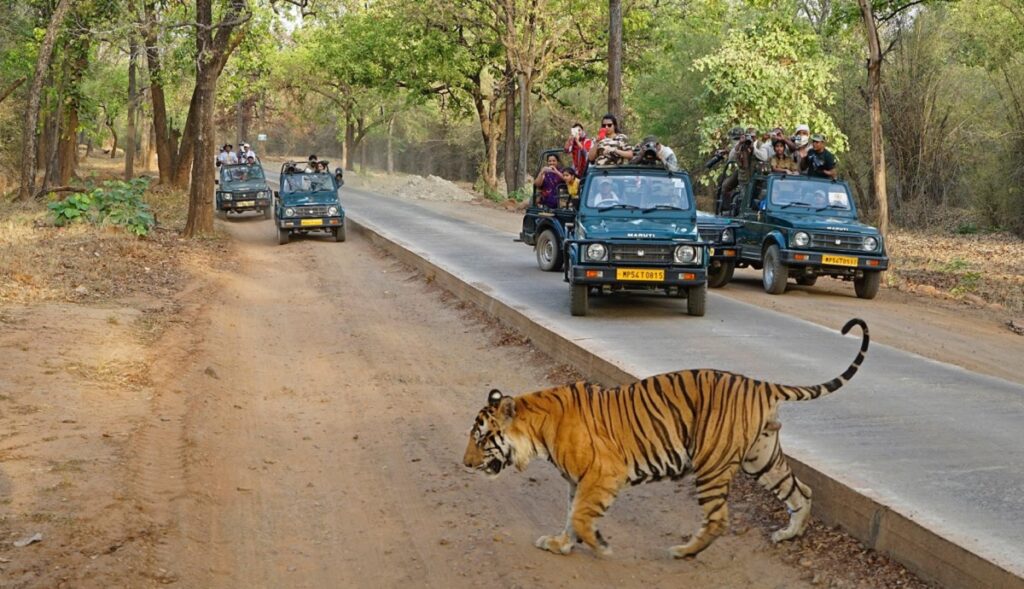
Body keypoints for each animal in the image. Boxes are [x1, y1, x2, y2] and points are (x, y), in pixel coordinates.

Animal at [460, 317, 868, 557]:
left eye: (480, 439)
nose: (464, 464)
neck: (536, 430)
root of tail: (760, 383)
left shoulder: (603, 473)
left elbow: (580, 515)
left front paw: (599, 546)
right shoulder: (578, 480)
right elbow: (571, 515)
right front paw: (560, 543)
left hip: (711, 463)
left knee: (719, 519)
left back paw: (685, 551)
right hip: (761, 458)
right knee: (802, 491)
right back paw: (789, 534)